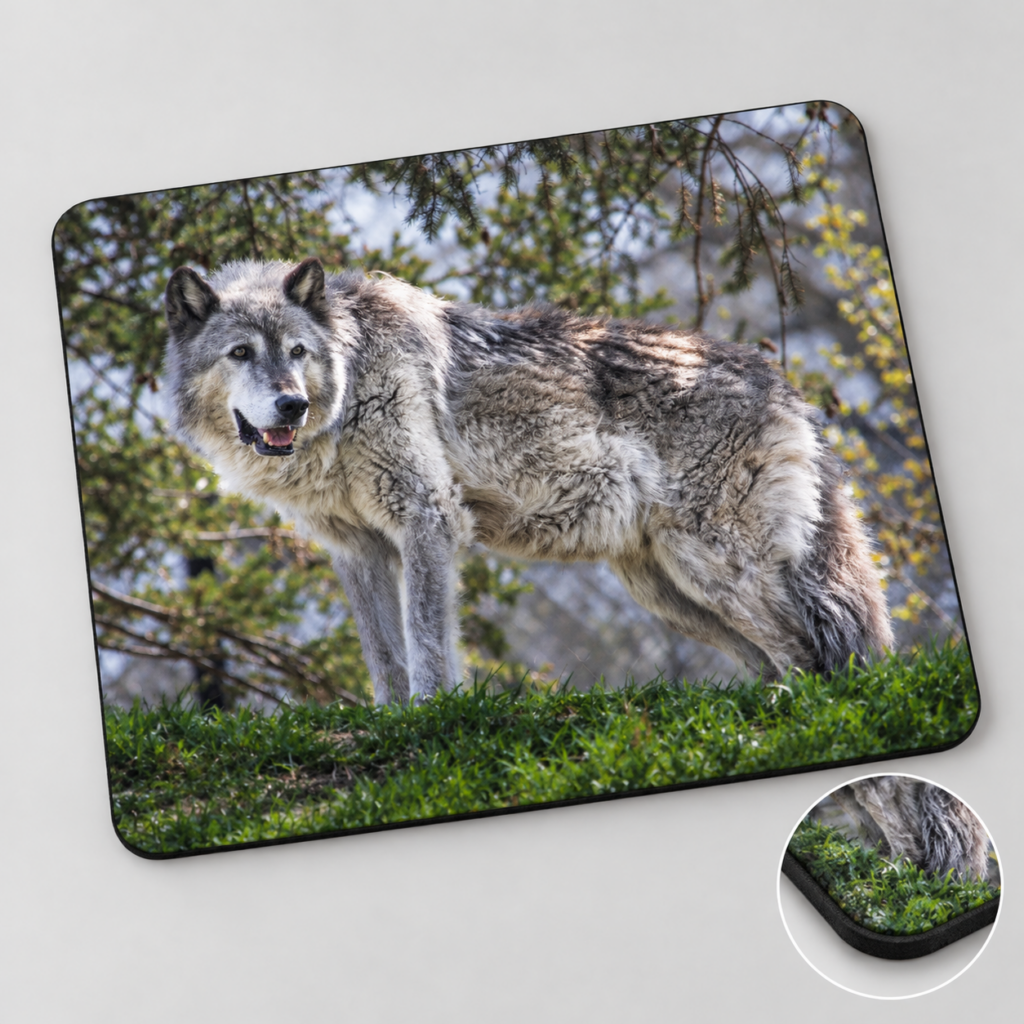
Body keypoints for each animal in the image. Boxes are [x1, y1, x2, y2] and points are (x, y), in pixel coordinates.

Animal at [165, 257, 893, 704]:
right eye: (240, 353)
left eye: (297, 352)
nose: (291, 405)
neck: (348, 393)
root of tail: (784, 385)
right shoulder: (356, 549)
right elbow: (384, 658)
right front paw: (390, 722)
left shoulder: (428, 519)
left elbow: (427, 645)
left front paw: (429, 720)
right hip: (670, 592)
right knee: (782, 661)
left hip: (714, 567)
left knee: (811, 654)